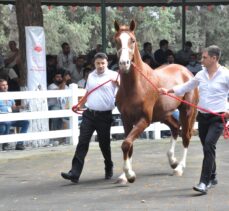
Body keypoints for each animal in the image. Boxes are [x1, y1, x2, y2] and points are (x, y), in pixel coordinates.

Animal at [114, 20, 199, 184]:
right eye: (116, 40)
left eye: (132, 40)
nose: (124, 63)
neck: (135, 85)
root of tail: (186, 71)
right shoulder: (126, 120)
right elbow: (129, 145)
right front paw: (124, 175)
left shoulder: (144, 120)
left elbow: (126, 143)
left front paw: (129, 174)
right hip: (163, 114)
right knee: (175, 127)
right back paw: (172, 161)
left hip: (187, 111)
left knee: (186, 135)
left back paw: (179, 167)